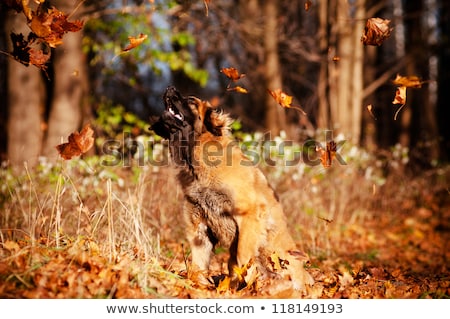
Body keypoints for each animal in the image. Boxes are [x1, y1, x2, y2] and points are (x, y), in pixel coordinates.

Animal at [151, 86, 312, 294]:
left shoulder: (249, 214)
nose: (169, 88)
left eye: (191, 101)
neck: (195, 163)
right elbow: (197, 266)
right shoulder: (199, 228)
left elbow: (244, 257)